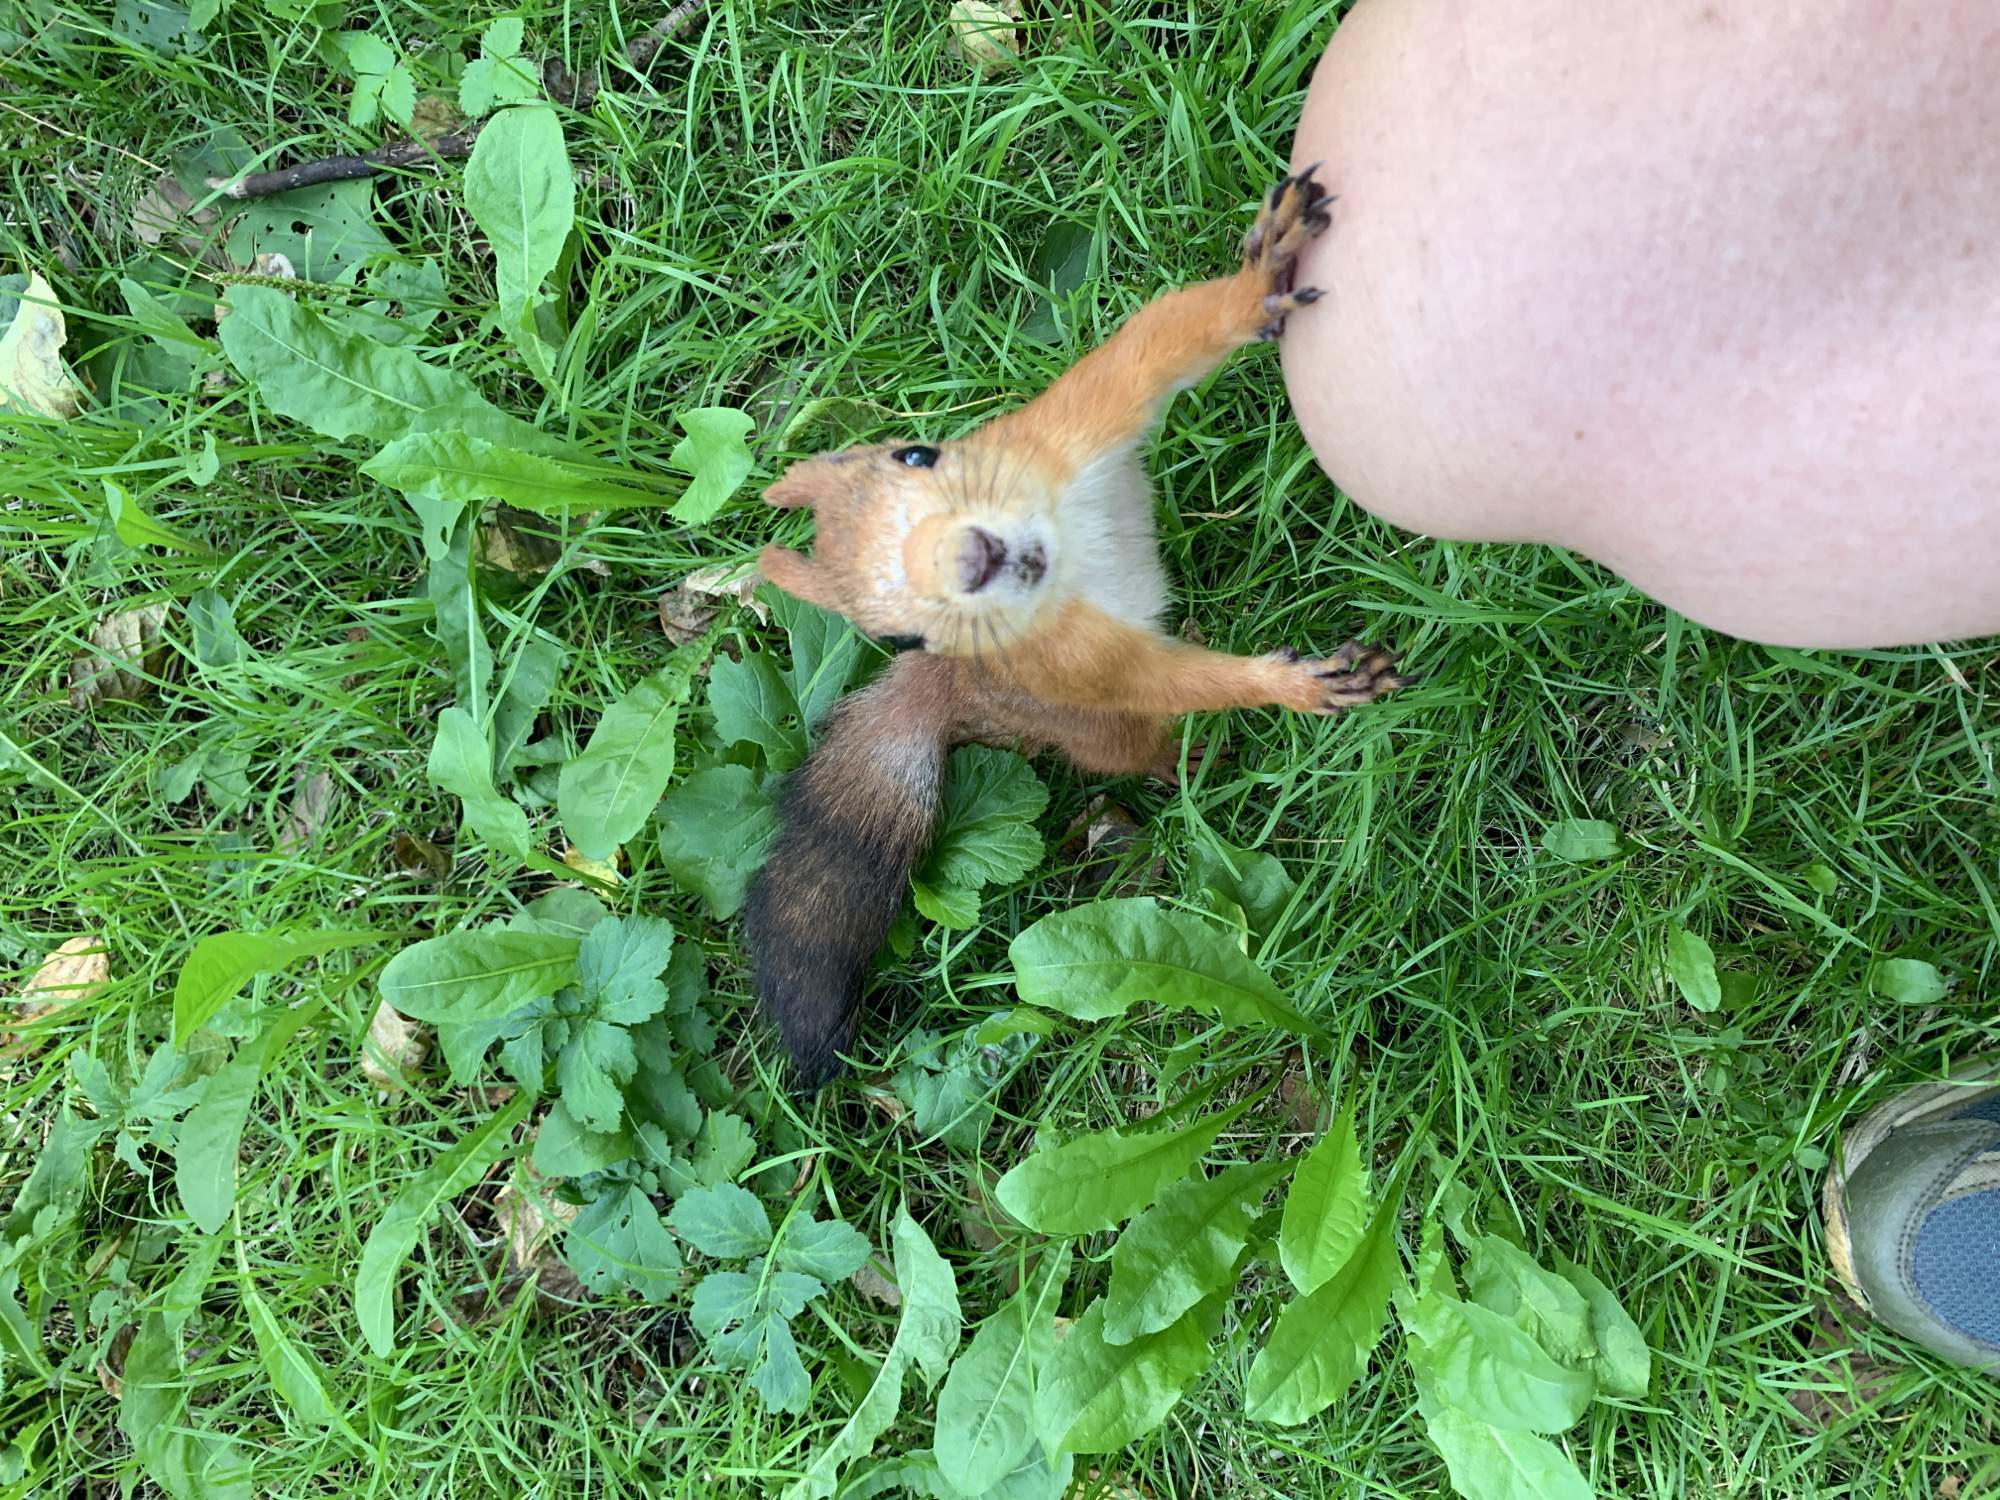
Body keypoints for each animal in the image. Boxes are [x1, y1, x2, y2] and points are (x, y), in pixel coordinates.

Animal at [743, 169, 1411, 1088]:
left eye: (917, 453)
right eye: (895, 630)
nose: (972, 559)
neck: (1060, 551)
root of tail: (960, 688)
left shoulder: (1066, 429)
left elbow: (1157, 343)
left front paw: (1260, 270)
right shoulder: (1074, 661)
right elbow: (1161, 677)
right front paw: (1288, 685)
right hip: (1073, 719)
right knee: (1138, 744)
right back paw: (1193, 761)